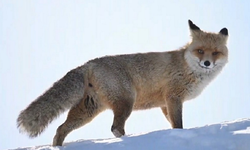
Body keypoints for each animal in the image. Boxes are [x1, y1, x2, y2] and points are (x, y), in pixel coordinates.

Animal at [17, 19, 229, 146]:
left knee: (61, 128)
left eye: (215, 53)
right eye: (200, 51)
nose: (207, 63)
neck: (186, 67)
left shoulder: (164, 103)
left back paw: (57, 147)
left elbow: (172, 123)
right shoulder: (173, 97)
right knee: (115, 128)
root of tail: (88, 64)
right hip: (126, 101)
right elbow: (178, 124)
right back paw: (132, 140)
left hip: (89, 110)